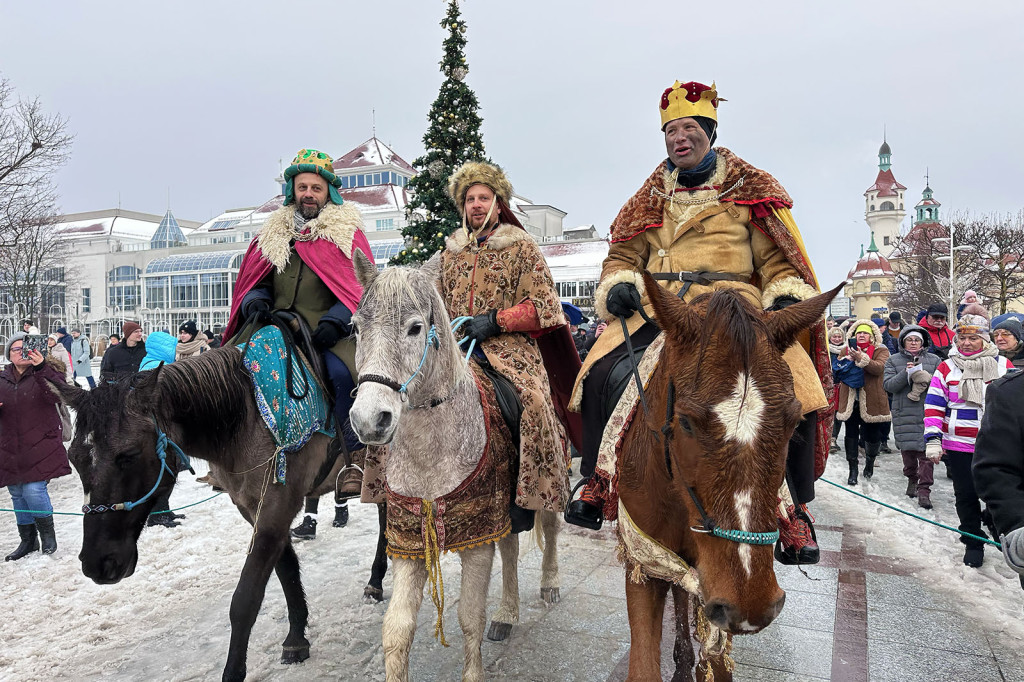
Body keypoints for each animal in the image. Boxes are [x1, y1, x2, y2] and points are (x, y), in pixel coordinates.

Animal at [46, 348, 387, 675]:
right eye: (74, 458)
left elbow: (245, 601)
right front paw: (296, 638)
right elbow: (287, 570)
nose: (98, 563)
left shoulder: (276, 510)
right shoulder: (256, 510)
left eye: (128, 455)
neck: (246, 418)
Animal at [350, 250, 561, 679]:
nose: (369, 419)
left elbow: (469, 619)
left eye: (415, 328)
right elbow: (396, 629)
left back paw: (549, 583)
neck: (431, 455)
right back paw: (507, 614)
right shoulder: (410, 541)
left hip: (541, 479)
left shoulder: (478, 536)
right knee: (511, 549)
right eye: (356, 328)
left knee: (549, 526)